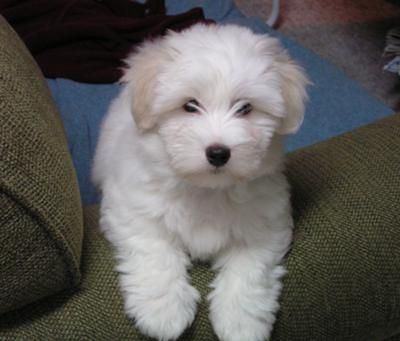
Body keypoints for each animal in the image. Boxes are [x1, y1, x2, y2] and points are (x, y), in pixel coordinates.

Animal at [92, 22, 308, 338]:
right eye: (189, 106)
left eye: (245, 108)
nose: (218, 153)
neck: (207, 189)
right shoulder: (131, 210)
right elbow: (155, 251)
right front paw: (163, 313)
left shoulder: (265, 225)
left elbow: (250, 270)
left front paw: (241, 323)